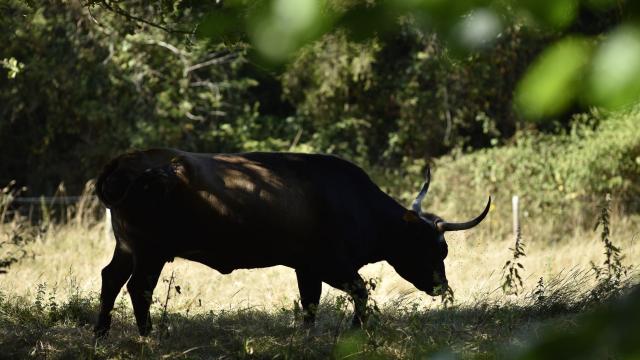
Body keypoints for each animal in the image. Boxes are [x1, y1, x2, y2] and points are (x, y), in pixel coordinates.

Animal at [92, 148, 490, 336]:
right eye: (434, 248)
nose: (442, 287)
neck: (356, 202)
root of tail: (126, 160)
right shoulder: (331, 264)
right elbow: (361, 291)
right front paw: (357, 329)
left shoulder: (306, 268)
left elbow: (310, 305)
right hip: (151, 252)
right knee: (138, 288)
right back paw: (148, 335)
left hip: (127, 247)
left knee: (111, 278)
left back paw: (101, 332)